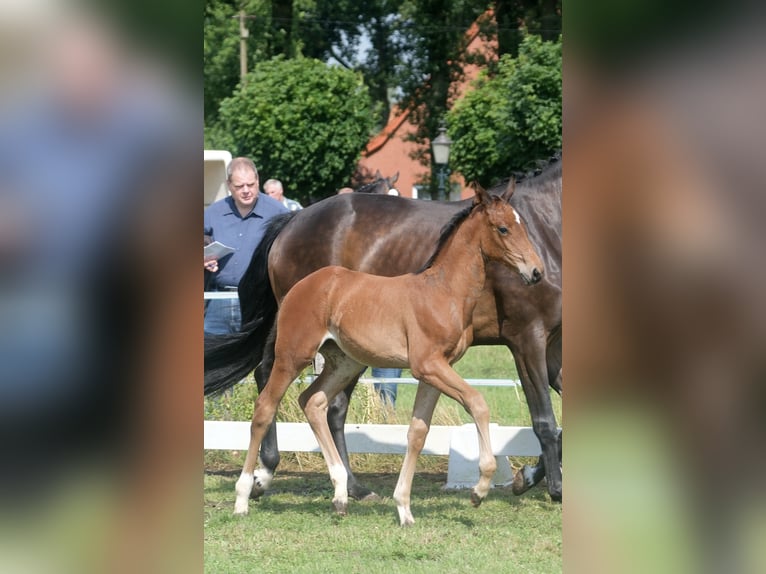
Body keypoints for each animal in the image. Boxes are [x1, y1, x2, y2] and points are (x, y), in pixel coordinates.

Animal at [206, 159, 564, 504]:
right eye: (503, 228)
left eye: (524, 226)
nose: (535, 272)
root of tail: (292, 220)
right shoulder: (525, 339)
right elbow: (538, 419)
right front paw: (539, 486)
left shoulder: (548, 347)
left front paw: (529, 478)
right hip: (299, 346)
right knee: (271, 389)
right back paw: (265, 477)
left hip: (345, 357)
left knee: (320, 403)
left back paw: (343, 485)